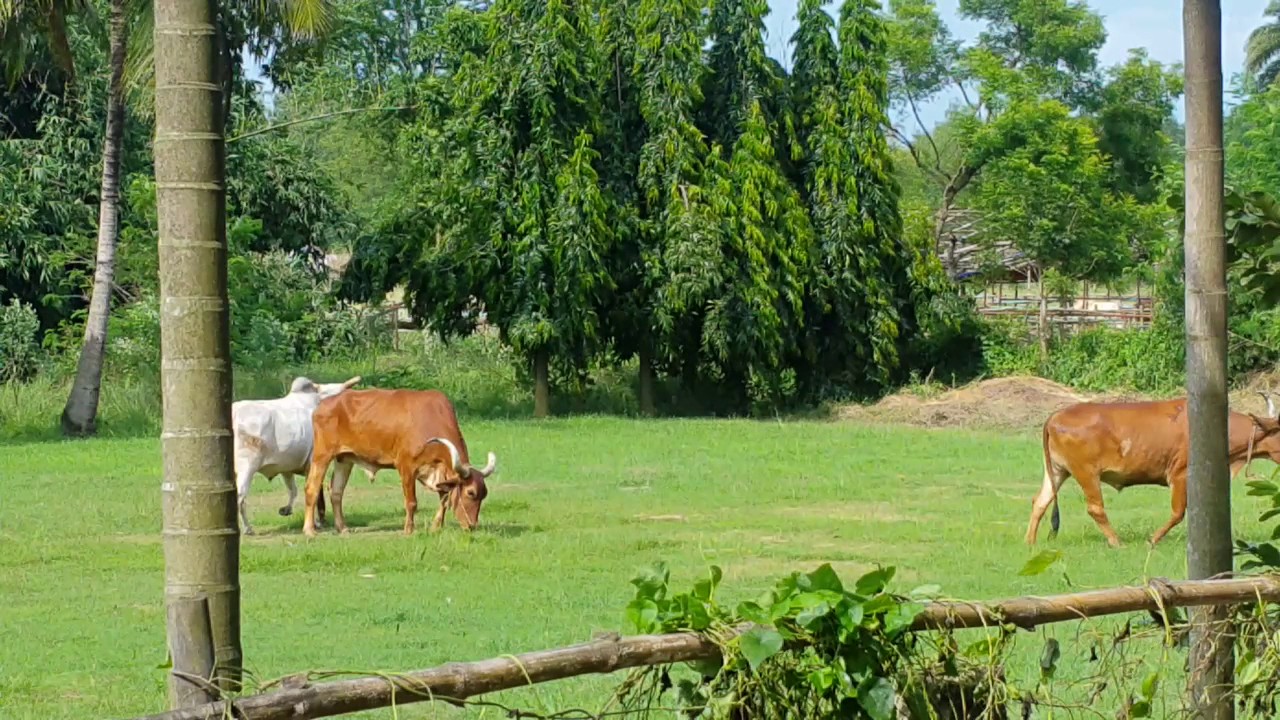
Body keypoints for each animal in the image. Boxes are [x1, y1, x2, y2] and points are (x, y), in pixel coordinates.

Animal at [232, 376, 361, 535]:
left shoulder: (286, 466)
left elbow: (293, 489)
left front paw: (287, 510)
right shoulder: (314, 462)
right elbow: (314, 490)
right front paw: (317, 522)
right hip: (247, 467)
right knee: (240, 497)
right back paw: (246, 529)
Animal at [301, 388, 497, 538]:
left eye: (484, 494)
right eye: (470, 493)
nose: (472, 526)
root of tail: (323, 404)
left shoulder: (442, 473)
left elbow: (444, 498)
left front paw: (436, 527)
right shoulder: (406, 467)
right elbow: (412, 502)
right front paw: (409, 530)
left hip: (345, 459)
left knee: (336, 492)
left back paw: (342, 528)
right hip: (322, 455)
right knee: (312, 488)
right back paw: (309, 530)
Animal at [1025, 392, 1280, 548]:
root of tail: (1055, 417)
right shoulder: (1180, 474)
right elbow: (1178, 513)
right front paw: (1153, 540)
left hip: (1058, 471)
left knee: (1040, 501)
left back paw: (1030, 541)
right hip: (1086, 473)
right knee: (1095, 508)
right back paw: (1116, 542)